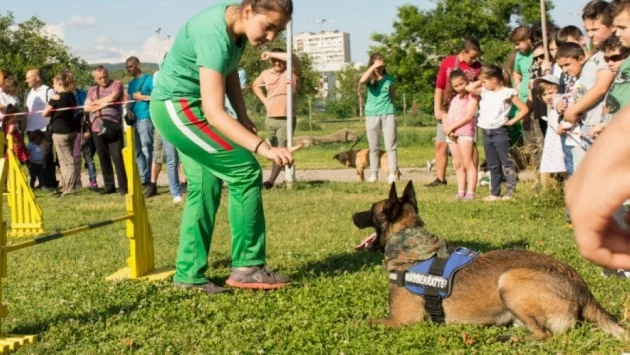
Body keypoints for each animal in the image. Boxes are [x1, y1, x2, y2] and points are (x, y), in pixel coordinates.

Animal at [354, 182, 628, 340]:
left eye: (372, 210)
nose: (353, 216)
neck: (412, 246)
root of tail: (584, 290)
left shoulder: (401, 321)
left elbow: (363, 321)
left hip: (510, 280)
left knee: (544, 335)